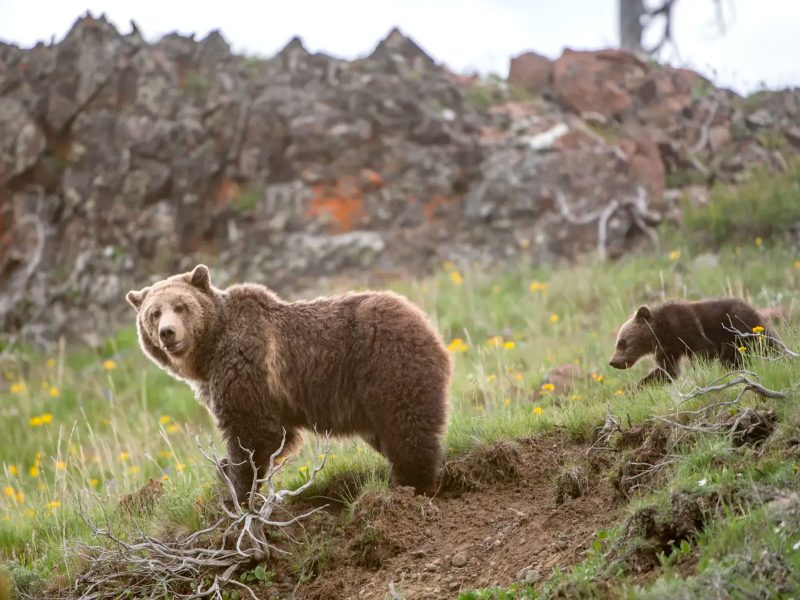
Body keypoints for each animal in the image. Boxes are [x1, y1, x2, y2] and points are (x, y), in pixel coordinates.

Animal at [126, 265, 452, 501]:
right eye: (154, 313)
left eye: (181, 305)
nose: (168, 332)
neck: (210, 352)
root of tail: (426, 323)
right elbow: (275, 434)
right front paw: (225, 473)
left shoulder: (247, 366)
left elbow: (252, 432)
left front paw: (236, 488)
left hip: (386, 363)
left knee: (406, 425)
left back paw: (410, 485)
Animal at [609, 298, 772, 386]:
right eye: (618, 343)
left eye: (622, 342)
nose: (613, 362)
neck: (662, 333)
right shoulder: (668, 349)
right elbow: (668, 370)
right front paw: (636, 387)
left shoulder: (685, 326)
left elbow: (704, 350)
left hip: (739, 330)